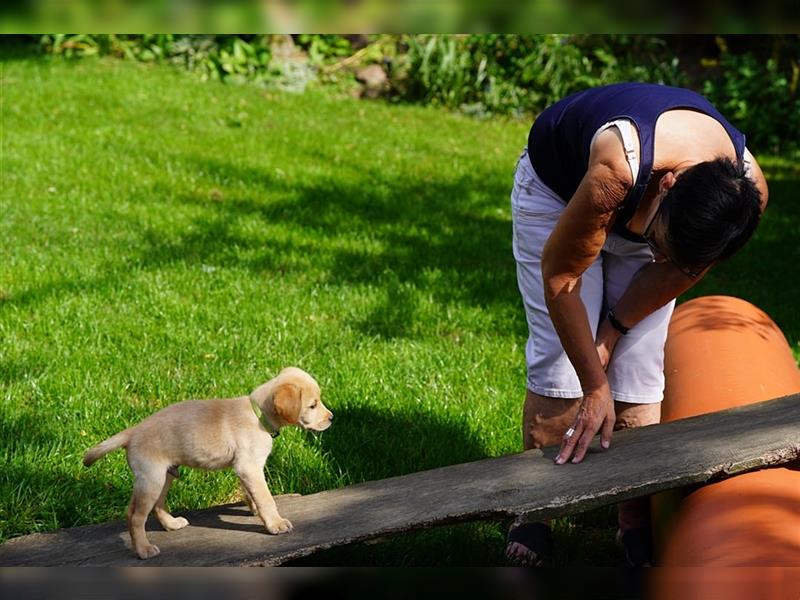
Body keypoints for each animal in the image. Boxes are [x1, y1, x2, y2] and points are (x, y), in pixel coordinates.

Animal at [82, 368, 332, 560]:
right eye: (312, 405)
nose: (331, 418)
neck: (258, 415)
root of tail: (132, 432)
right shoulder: (250, 468)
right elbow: (266, 499)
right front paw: (275, 524)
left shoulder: (244, 469)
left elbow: (251, 494)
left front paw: (254, 511)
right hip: (151, 479)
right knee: (135, 516)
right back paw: (143, 549)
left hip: (165, 475)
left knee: (158, 506)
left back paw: (172, 524)